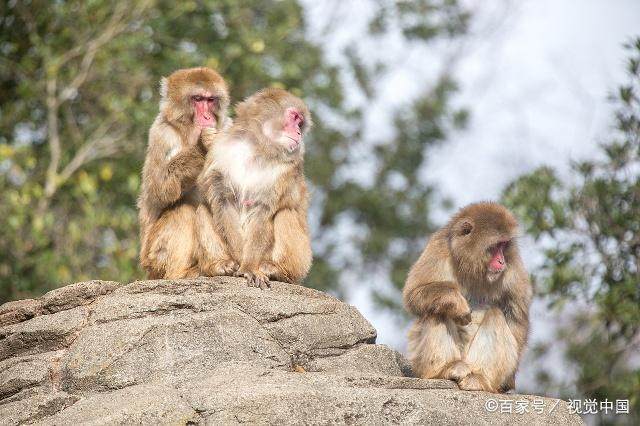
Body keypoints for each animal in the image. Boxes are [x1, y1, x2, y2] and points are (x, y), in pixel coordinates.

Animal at [138, 66, 230, 280]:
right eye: (197, 99)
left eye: (210, 100)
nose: (207, 118)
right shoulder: (161, 133)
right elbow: (158, 190)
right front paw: (201, 146)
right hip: (154, 259)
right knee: (183, 210)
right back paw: (181, 273)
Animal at [198, 88, 312, 290]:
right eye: (294, 117)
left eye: (300, 123)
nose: (298, 132)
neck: (258, 148)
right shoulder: (221, 151)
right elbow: (223, 202)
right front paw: (239, 264)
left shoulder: (284, 170)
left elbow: (262, 210)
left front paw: (249, 267)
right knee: (203, 208)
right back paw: (219, 265)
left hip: (302, 261)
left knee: (285, 214)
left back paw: (278, 270)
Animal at [402, 202, 532, 392]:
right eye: (496, 246)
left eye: (504, 245)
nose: (501, 261)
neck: (471, 267)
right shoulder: (438, 247)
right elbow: (413, 294)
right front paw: (456, 302)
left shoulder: (513, 265)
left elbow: (516, 317)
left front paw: (509, 382)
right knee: (436, 311)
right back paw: (445, 369)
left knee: (496, 315)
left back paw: (479, 378)